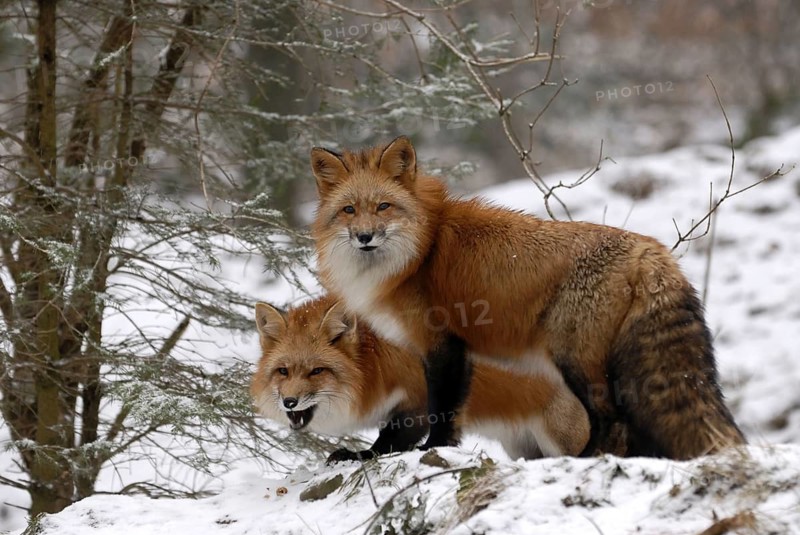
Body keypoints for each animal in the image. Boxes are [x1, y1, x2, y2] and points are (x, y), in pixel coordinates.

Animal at [250, 295, 591, 463]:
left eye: (316, 371)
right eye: (283, 371)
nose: (289, 401)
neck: (376, 367)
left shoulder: (419, 401)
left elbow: (389, 441)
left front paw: (359, 456)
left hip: (562, 439)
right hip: (522, 448)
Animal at [309, 135, 746, 460]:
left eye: (383, 206)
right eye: (349, 210)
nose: (365, 237)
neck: (419, 252)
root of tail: (652, 250)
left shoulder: (442, 344)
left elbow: (441, 410)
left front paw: (431, 450)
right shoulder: (458, 350)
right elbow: (446, 413)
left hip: (575, 359)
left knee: (612, 421)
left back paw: (583, 459)